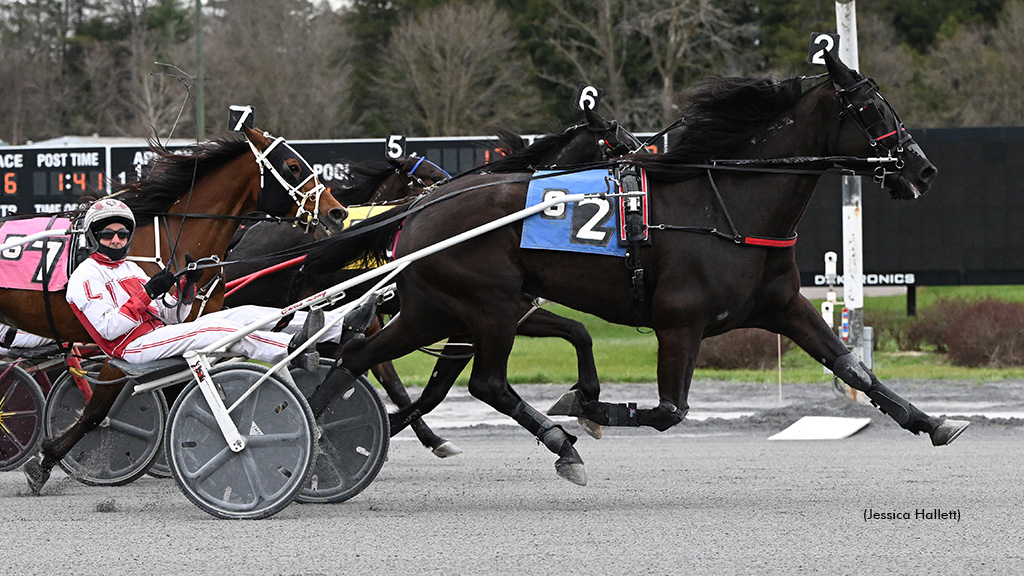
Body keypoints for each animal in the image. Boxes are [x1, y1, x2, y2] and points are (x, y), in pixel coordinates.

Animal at [303, 53, 966, 483]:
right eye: (871, 107)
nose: (923, 168)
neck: (726, 203)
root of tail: (418, 209)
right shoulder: (681, 321)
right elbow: (671, 411)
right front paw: (587, 408)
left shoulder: (782, 304)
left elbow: (852, 365)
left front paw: (931, 422)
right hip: (488, 305)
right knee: (483, 383)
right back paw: (559, 442)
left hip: (435, 309)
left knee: (357, 358)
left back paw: (323, 444)